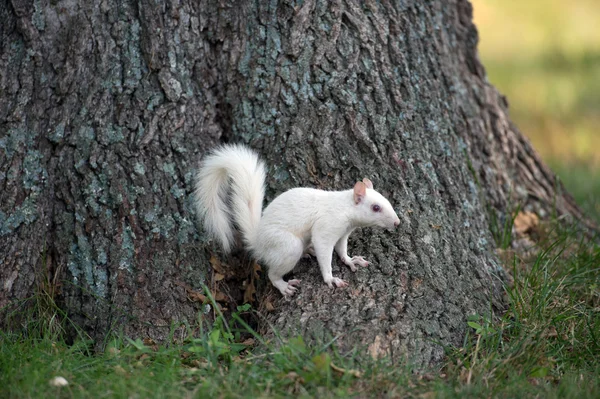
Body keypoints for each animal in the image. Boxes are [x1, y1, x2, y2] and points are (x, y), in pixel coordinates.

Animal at [195, 145, 400, 296]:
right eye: (375, 207)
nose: (397, 223)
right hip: (286, 246)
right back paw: (284, 285)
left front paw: (351, 260)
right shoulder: (327, 226)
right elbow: (324, 250)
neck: (345, 208)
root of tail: (258, 241)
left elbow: (342, 249)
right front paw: (330, 279)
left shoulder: (343, 233)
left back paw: (308, 251)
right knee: (272, 274)